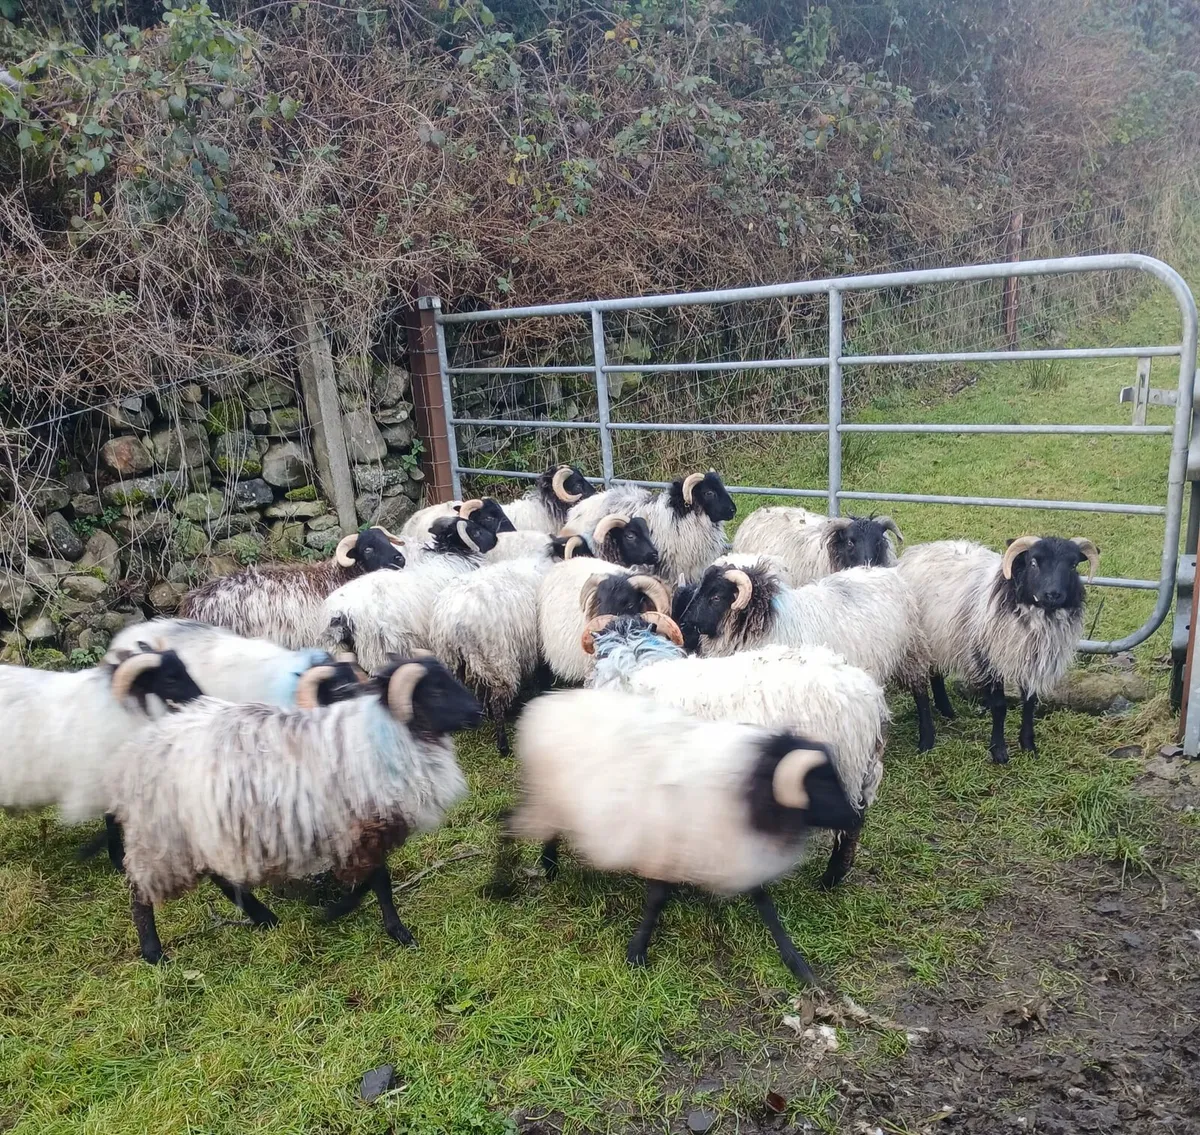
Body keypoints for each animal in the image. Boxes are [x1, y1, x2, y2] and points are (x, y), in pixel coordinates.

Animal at [109, 656, 482, 963]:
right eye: (435, 689)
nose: (478, 713)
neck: (380, 735)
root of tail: (141, 745)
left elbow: (375, 880)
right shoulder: (356, 829)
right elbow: (377, 880)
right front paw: (358, 918)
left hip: (203, 831)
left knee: (220, 878)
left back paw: (264, 918)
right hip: (161, 835)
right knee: (140, 891)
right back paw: (154, 953)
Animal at [487, 687, 859, 984]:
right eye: (821, 784)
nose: (855, 817)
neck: (748, 788)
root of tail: (543, 705)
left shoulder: (739, 850)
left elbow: (767, 908)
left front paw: (798, 964)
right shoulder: (668, 848)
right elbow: (656, 900)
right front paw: (637, 953)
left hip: (554, 803)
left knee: (544, 833)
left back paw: (549, 867)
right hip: (544, 800)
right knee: (506, 823)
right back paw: (498, 886)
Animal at [676, 561, 933, 748]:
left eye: (716, 597)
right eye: (699, 591)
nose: (684, 622)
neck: (766, 622)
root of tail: (886, 571)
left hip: (910, 649)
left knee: (920, 690)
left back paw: (926, 740)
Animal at [894, 535, 1099, 763]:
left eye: (1073, 565)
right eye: (1033, 562)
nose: (1053, 594)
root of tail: (917, 551)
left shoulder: (1030, 660)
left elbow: (1030, 704)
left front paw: (1028, 745)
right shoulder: (986, 659)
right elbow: (1000, 707)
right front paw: (999, 751)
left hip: (938, 638)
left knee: (935, 674)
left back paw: (947, 711)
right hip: (915, 642)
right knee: (919, 688)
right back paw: (927, 739)